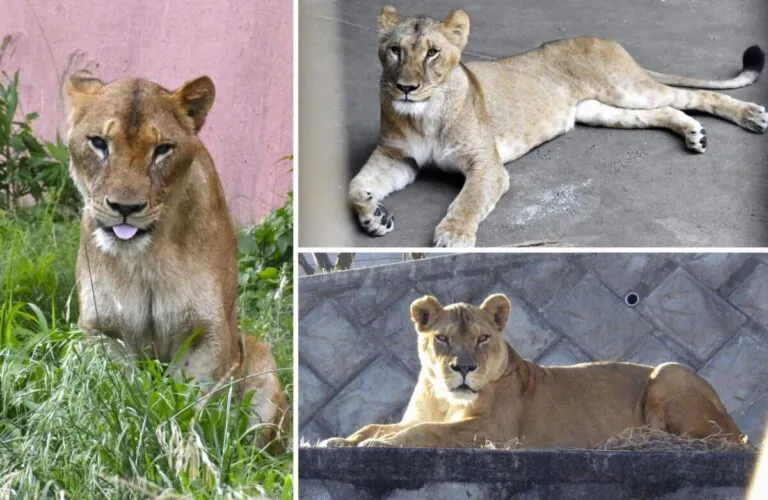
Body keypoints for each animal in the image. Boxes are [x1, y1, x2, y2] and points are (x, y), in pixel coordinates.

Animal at [64, 72, 288, 447]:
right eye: (98, 143)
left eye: (162, 149)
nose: (125, 208)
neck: (147, 259)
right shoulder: (102, 331)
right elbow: (114, 395)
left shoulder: (207, 333)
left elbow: (190, 404)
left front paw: (184, 444)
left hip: (259, 356)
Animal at [319, 293, 744, 449]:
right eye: (442, 338)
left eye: (482, 338)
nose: (463, 368)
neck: (444, 398)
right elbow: (380, 425)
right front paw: (342, 440)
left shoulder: (494, 431)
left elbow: (425, 432)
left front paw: (377, 445)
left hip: (670, 371)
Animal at [348, 6, 767, 247]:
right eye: (395, 50)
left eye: (433, 53)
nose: (406, 87)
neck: (425, 114)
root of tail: (606, 38)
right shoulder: (397, 157)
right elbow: (355, 187)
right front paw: (375, 216)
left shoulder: (487, 165)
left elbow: (469, 200)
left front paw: (453, 237)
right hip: (603, 110)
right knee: (666, 110)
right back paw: (695, 133)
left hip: (628, 89)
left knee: (694, 95)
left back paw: (751, 116)